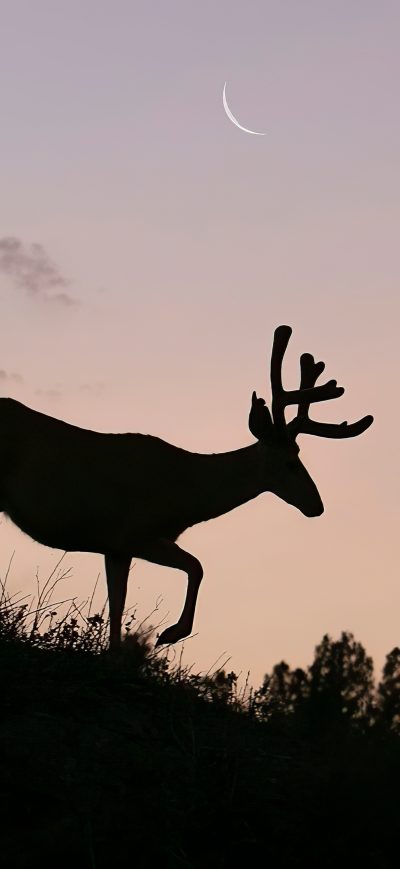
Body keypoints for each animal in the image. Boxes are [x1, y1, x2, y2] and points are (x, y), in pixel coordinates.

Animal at [0, 325, 373, 648]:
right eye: (290, 462)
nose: (317, 506)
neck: (186, 492)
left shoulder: (116, 546)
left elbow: (117, 607)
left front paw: (117, 654)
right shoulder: (136, 532)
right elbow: (197, 566)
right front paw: (171, 633)